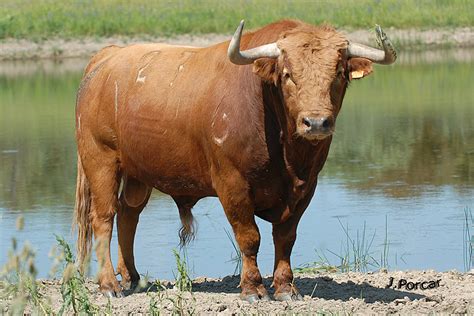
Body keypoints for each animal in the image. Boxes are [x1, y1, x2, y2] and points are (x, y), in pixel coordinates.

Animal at [75, 19, 396, 302]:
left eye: (339, 73)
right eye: (287, 74)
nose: (316, 123)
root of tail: (107, 56)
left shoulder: (306, 187)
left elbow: (286, 238)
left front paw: (286, 288)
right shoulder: (232, 183)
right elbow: (249, 237)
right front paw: (253, 289)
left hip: (138, 172)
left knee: (129, 215)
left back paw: (133, 277)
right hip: (101, 160)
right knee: (103, 218)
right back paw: (109, 285)